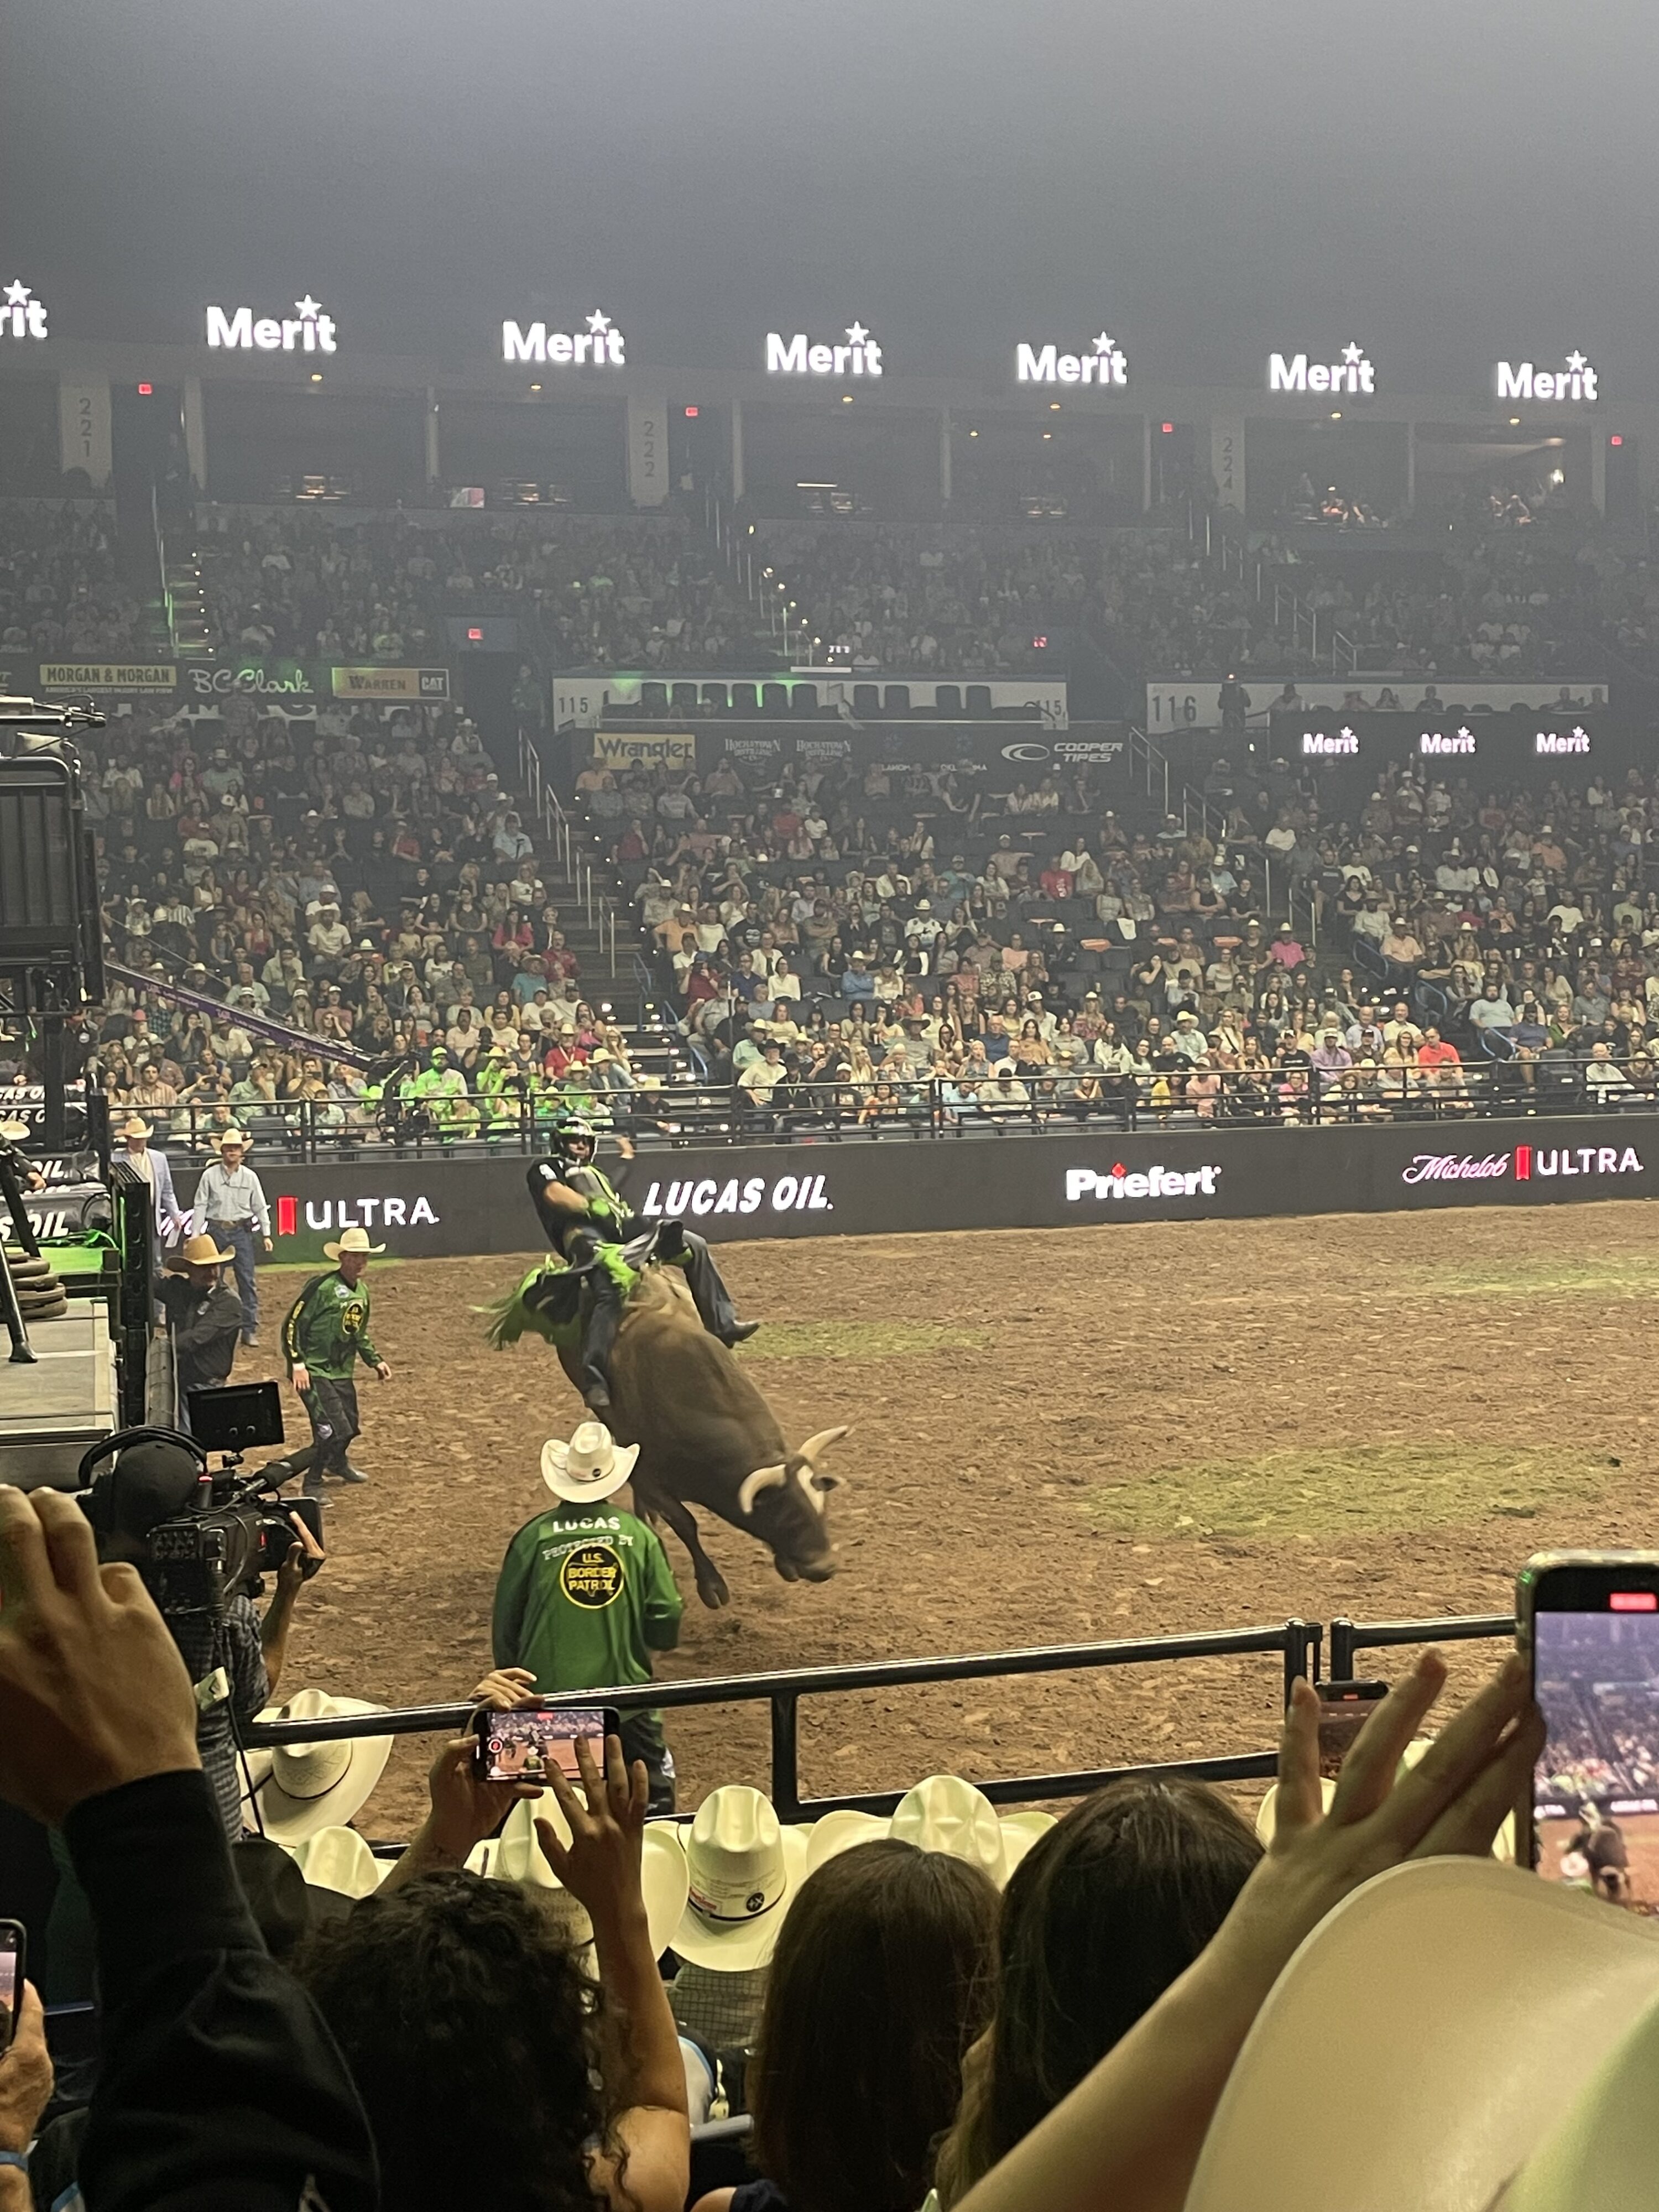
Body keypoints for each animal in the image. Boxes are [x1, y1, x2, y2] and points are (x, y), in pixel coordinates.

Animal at [480, 1248, 845, 1610]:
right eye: (785, 1514)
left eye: (821, 1506)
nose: (825, 1568)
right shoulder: (649, 1476)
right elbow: (686, 1523)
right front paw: (711, 1585)